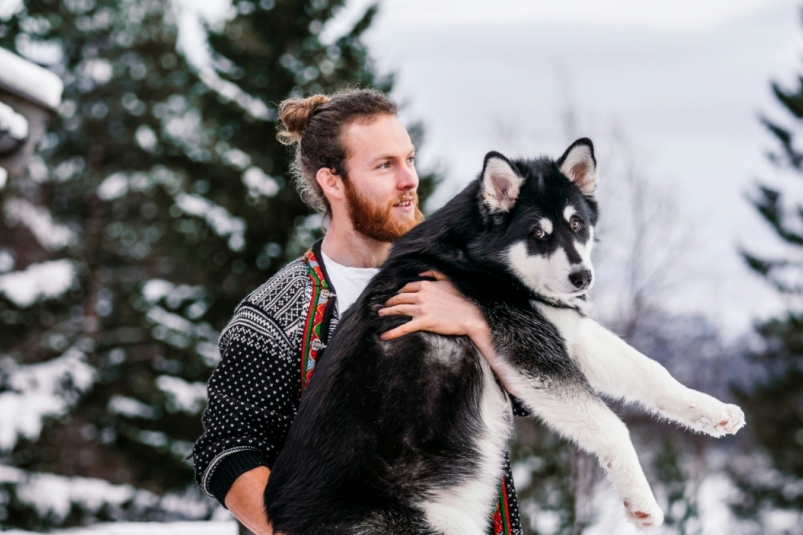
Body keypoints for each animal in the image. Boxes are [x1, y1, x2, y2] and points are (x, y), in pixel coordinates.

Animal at [266, 139, 748, 535]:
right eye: (537, 233)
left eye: (577, 224)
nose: (582, 277)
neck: (479, 257)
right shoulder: (528, 352)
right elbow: (612, 426)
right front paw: (642, 501)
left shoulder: (563, 331)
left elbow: (653, 372)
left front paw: (711, 411)